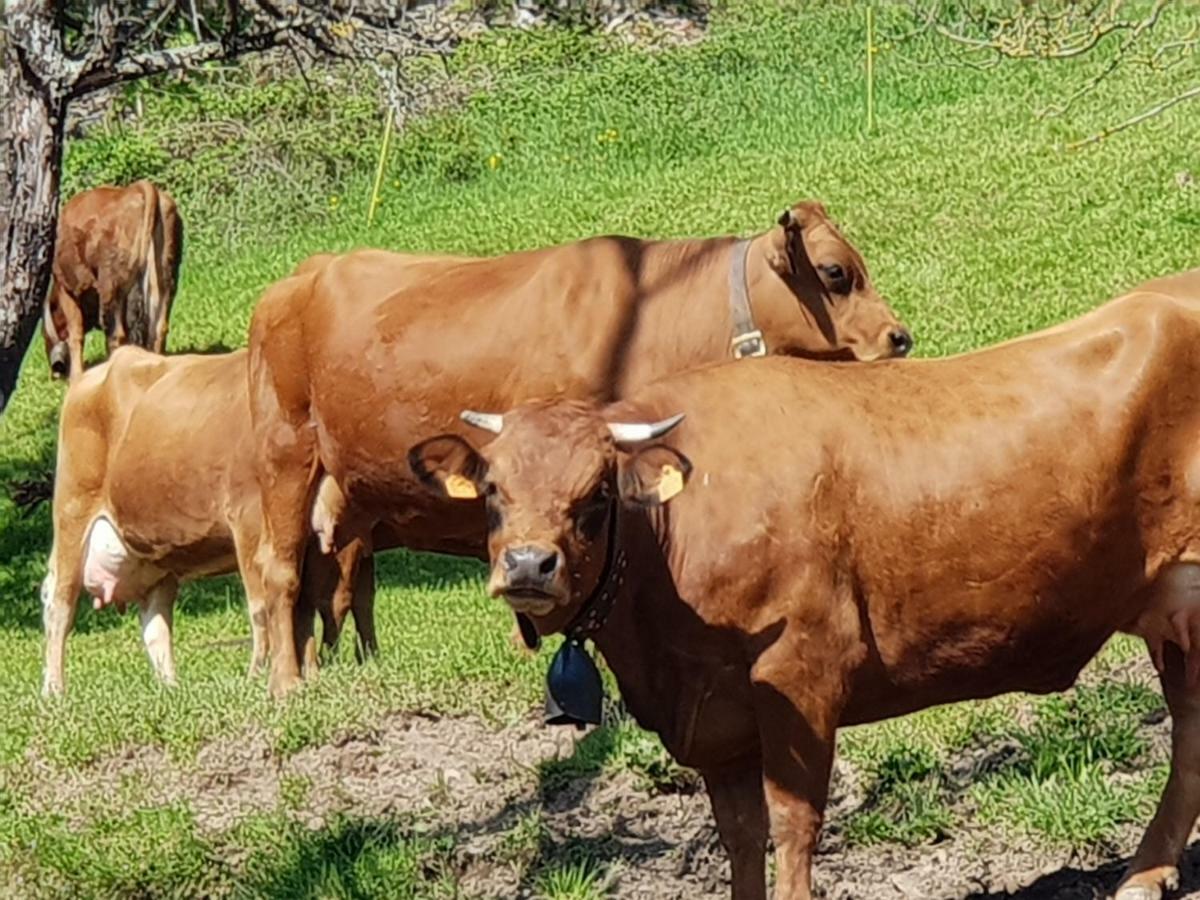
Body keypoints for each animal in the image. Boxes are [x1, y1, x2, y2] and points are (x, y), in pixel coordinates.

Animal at [41, 345, 369, 696]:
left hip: (154, 555)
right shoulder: (249, 517)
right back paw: (54, 689)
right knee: (60, 605)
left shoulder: (306, 534)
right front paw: (259, 674)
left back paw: (172, 688)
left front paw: (310, 673)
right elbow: (262, 604)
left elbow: (303, 600)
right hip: (72, 512)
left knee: (155, 622)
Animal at [43, 181, 182, 381]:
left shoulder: (67, 289)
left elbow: (75, 334)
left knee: (116, 336)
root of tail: (139, 188)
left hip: (111, 288)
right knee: (158, 328)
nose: (55, 372)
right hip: (166, 280)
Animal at [248, 202, 912, 696]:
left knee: (319, 582)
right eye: (835, 272)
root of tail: (297, 278)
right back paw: (286, 683)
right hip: (283, 452)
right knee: (279, 570)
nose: (899, 337)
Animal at [408, 267, 1200, 900]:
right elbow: (738, 836)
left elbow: (792, 827)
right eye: (493, 490)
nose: (527, 566)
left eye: (598, 494)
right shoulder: (715, 719)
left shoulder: (801, 675)